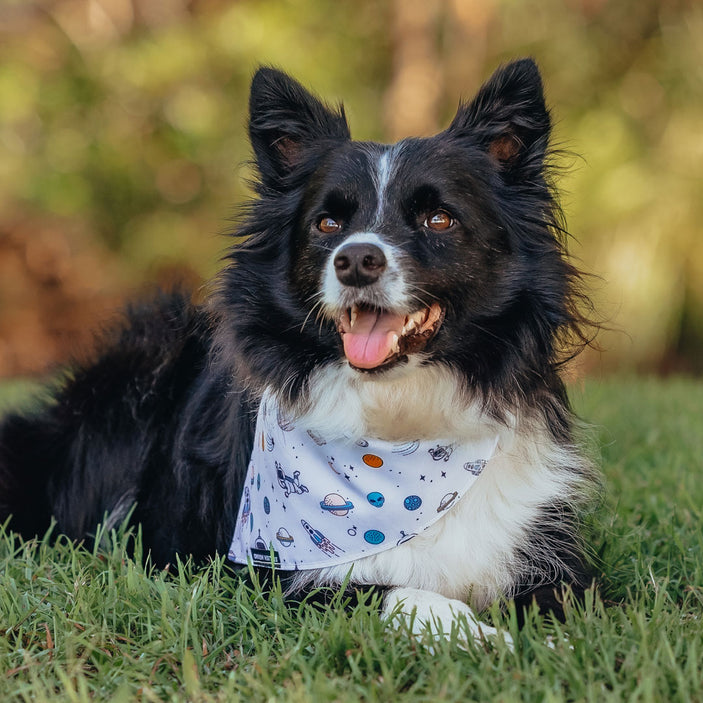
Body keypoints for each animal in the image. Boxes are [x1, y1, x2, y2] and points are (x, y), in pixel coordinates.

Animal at [0, 59, 596, 644]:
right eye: (328, 223)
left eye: (439, 219)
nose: (355, 261)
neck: (398, 433)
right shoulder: (272, 580)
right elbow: (400, 592)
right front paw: (482, 635)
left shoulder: (553, 560)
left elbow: (562, 607)